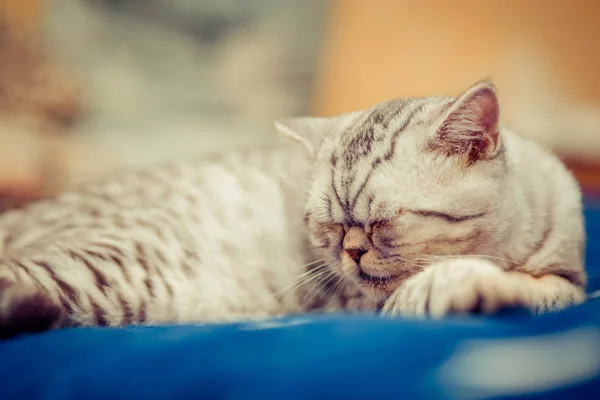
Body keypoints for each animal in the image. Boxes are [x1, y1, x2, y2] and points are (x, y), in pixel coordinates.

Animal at [0, 79, 584, 336]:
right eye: (328, 227)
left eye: (381, 223)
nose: (351, 252)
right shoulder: (368, 305)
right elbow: (438, 288)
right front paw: (474, 289)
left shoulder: (570, 279)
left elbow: (549, 292)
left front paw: (499, 289)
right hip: (118, 273)